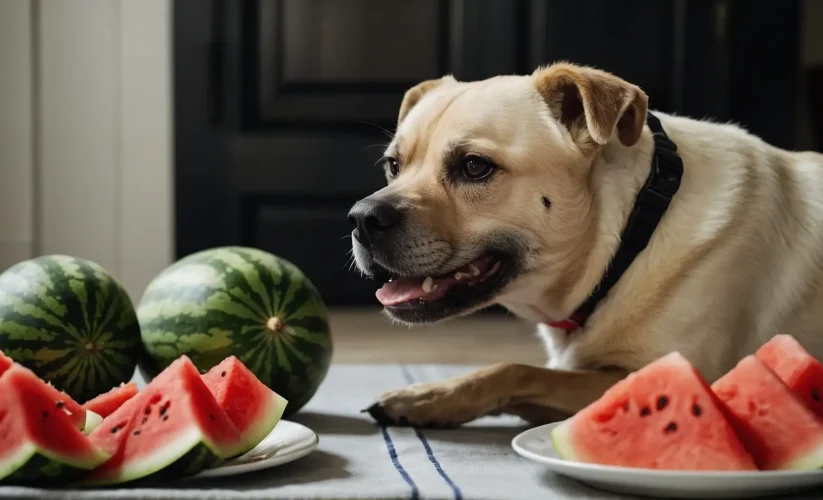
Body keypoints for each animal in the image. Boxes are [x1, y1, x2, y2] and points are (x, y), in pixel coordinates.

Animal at [344, 61, 823, 426]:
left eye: (475, 167)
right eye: (393, 165)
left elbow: (514, 369)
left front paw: (428, 395)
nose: (361, 219)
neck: (628, 242)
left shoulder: (682, 375)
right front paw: (428, 396)